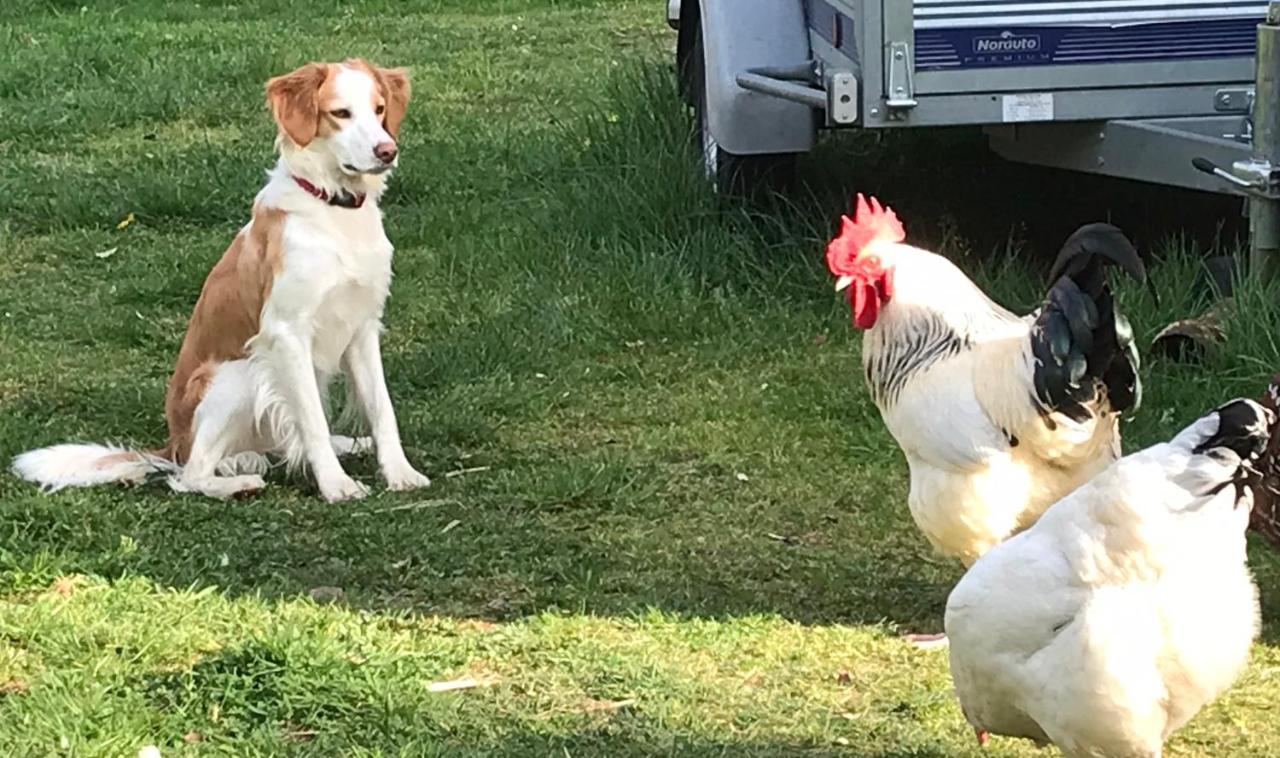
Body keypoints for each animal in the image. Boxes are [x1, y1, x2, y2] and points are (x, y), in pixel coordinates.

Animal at [11, 60, 430, 504]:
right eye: (340, 113)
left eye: (380, 109)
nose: (387, 151)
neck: (333, 210)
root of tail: (173, 444)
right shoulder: (286, 332)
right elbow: (313, 422)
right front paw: (337, 485)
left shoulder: (363, 326)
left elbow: (382, 409)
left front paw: (401, 473)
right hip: (239, 373)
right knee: (190, 475)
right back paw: (238, 483)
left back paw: (347, 444)